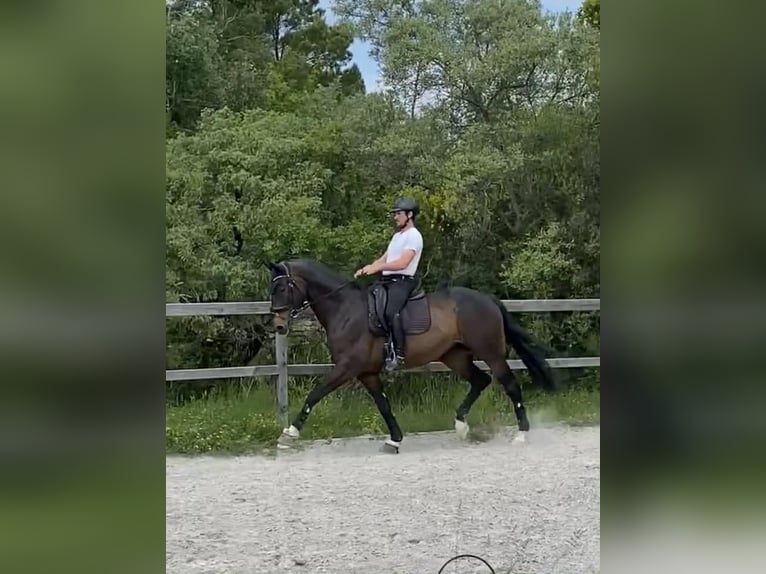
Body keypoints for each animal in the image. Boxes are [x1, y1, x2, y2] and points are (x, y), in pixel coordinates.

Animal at [265, 258, 557, 453]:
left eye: (282, 289)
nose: (278, 326)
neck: (345, 310)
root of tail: (488, 300)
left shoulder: (347, 367)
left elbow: (315, 393)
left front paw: (289, 434)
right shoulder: (367, 372)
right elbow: (383, 405)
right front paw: (394, 439)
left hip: (490, 353)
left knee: (510, 385)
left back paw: (521, 434)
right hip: (454, 355)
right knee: (480, 381)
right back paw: (461, 426)